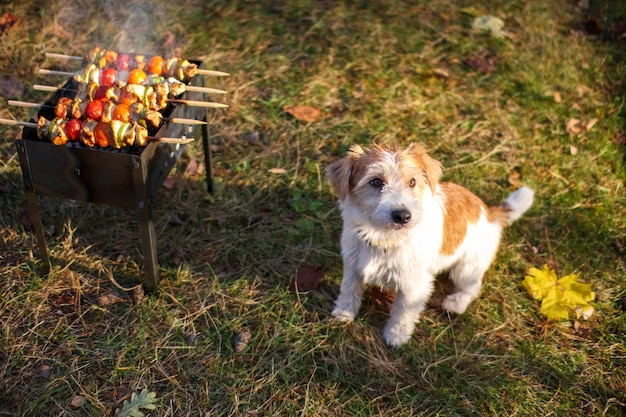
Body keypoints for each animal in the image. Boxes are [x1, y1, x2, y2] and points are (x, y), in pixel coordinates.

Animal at [324, 143, 532, 344]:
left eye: (412, 182)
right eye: (376, 181)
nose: (403, 216)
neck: (384, 237)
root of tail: (490, 213)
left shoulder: (415, 285)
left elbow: (404, 310)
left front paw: (396, 335)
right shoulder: (352, 264)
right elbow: (349, 288)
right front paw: (344, 312)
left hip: (466, 269)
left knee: (472, 287)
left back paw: (456, 303)